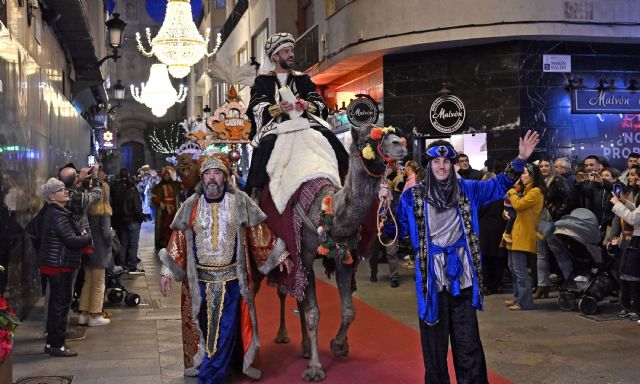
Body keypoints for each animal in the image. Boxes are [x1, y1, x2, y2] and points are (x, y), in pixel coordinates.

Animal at [266, 124, 408, 382]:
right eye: (365, 140)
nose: (399, 143)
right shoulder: (305, 257)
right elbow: (313, 313)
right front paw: (315, 368)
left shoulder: (344, 257)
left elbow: (349, 311)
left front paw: (338, 345)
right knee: (283, 290)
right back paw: (283, 335)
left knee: (298, 296)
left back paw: (304, 346)